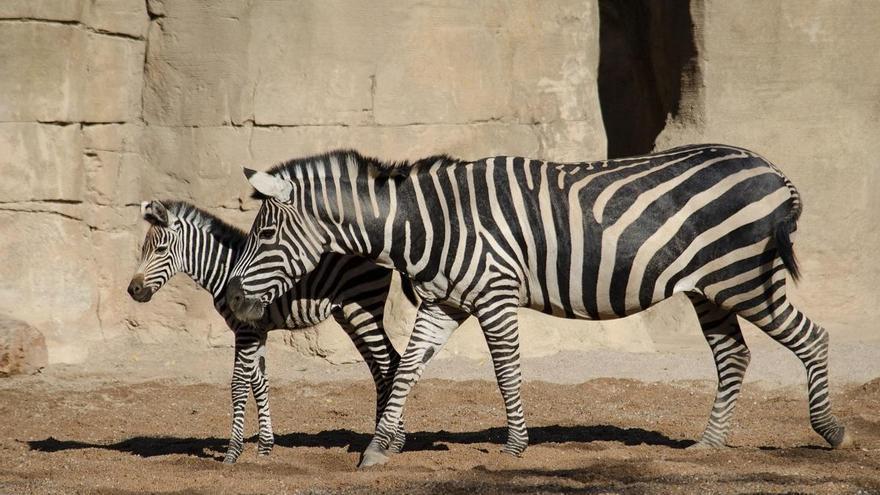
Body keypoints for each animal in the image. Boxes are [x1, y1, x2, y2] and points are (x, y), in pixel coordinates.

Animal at [127, 200, 410, 463]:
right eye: (143, 249)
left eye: (161, 249)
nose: (133, 290)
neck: (224, 270)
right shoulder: (257, 331)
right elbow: (259, 382)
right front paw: (265, 446)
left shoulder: (244, 331)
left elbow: (239, 384)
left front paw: (233, 453)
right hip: (348, 314)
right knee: (379, 368)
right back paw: (383, 436)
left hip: (362, 307)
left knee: (390, 362)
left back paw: (393, 441)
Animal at [225, 144, 851, 467]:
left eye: (266, 234)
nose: (231, 297)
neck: (429, 224)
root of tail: (772, 169)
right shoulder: (444, 302)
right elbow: (405, 369)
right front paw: (378, 449)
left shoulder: (495, 295)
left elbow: (506, 371)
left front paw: (516, 446)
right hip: (709, 289)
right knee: (734, 356)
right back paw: (709, 445)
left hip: (743, 276)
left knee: (811, 337)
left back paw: (830, 432)